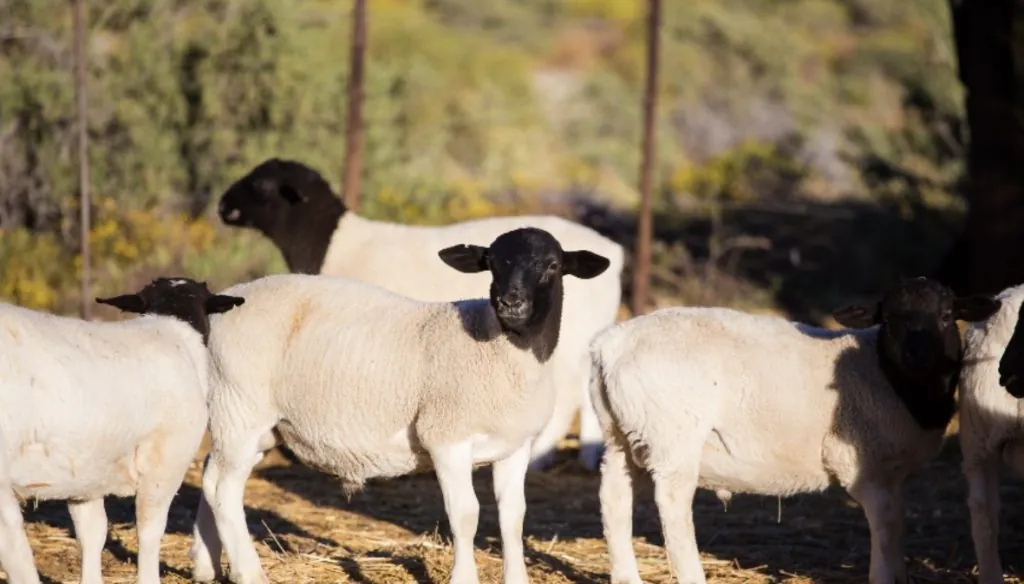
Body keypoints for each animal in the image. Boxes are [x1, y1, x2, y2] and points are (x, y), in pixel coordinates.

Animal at [0, 277, 245, 584]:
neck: (173, 328)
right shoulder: (166, 462)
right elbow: (150, 530)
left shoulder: (86, 471)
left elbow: (92, 532)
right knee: (15, 548)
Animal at [188, 227, 610, 584]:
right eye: (492, 262)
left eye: (552, 265)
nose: (511, 302)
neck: (503, 349)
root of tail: (222, 305)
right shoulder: (446, 437)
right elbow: (465, 514)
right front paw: (463, 578)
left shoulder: (516, 445)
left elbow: (513, 517)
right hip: (241, 406)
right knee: (224, 490)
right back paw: (248, 573)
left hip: (249, 420)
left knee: (211, 478)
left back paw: (206, 566)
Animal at [216, 157, 625, 471]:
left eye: (262, 184)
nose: (221, 206)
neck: (332, 243)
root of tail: (614, 253)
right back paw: (589, 456)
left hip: (571, 337)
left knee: (569, 395)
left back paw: (542, 456)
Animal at [588, 277, 1000, 584]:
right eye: (889, 320)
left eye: (946, 315)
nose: (919, 356)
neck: (888, 374)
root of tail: (610, 344)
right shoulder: (860, 467)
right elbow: (885, 527)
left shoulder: (891, 473)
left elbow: (897, 526)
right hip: (672, 437)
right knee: (673, 504)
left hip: (621, 435)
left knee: (614, 498)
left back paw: (626, 577)